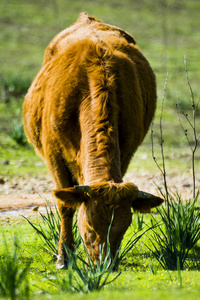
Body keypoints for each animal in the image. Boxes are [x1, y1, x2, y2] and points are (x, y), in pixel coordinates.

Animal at [24, 12, 163, 268]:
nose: (105, 265)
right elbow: (65, 206)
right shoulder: (53, 155)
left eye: (124, 226)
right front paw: (64, 257)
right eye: (89, 224)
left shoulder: (126, 151)